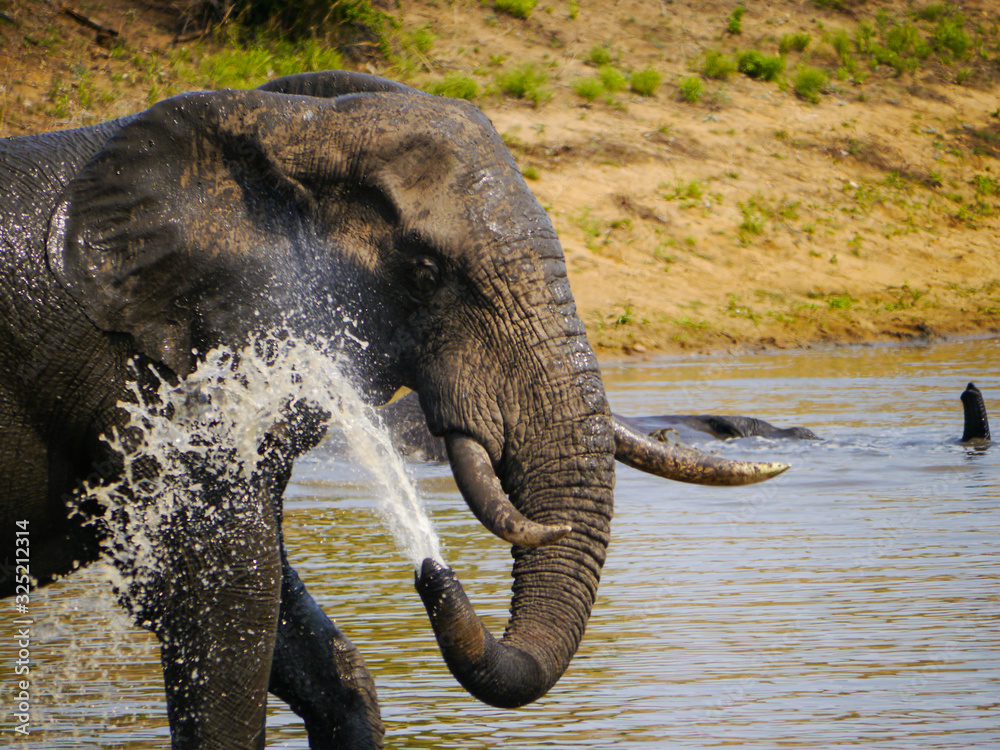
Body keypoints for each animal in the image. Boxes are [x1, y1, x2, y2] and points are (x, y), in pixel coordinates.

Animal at [0, 70, 789, 748]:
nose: (432, 567)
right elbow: (222, 590)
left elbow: (289, 621)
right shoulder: (149, 383)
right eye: (425, 274)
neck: (279, 124)